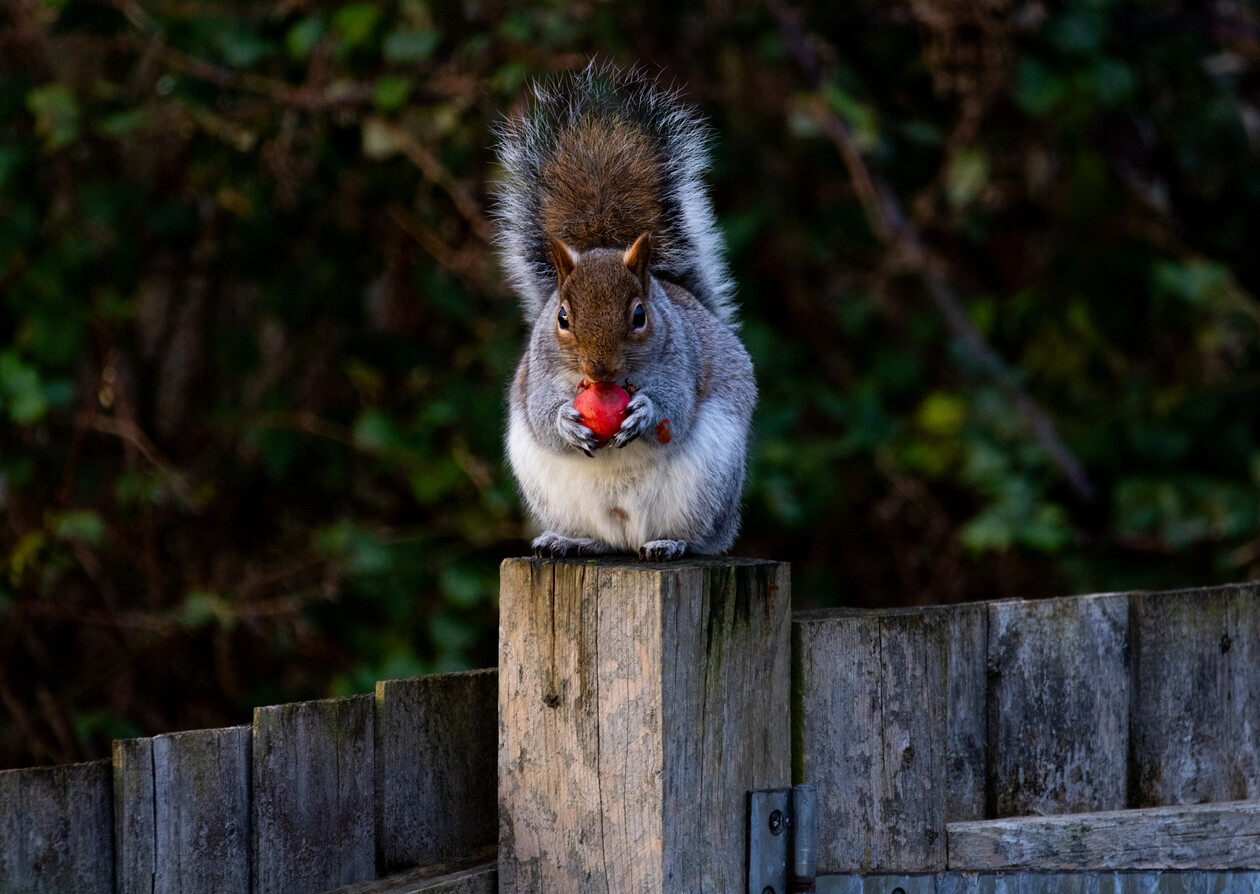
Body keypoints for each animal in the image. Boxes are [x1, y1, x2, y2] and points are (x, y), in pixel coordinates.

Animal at [491, 64, 750, 559]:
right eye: (562, 318)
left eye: (639, 316)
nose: (600, 368)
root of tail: (628, 534)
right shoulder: (537, 373)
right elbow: (540, 413)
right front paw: (565, 421)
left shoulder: (682, 360)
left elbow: (676, 409)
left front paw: (645, 411)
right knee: (601, 539)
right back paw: (570, 541)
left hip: (707, 487)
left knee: (698, 539)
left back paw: (670, 543)